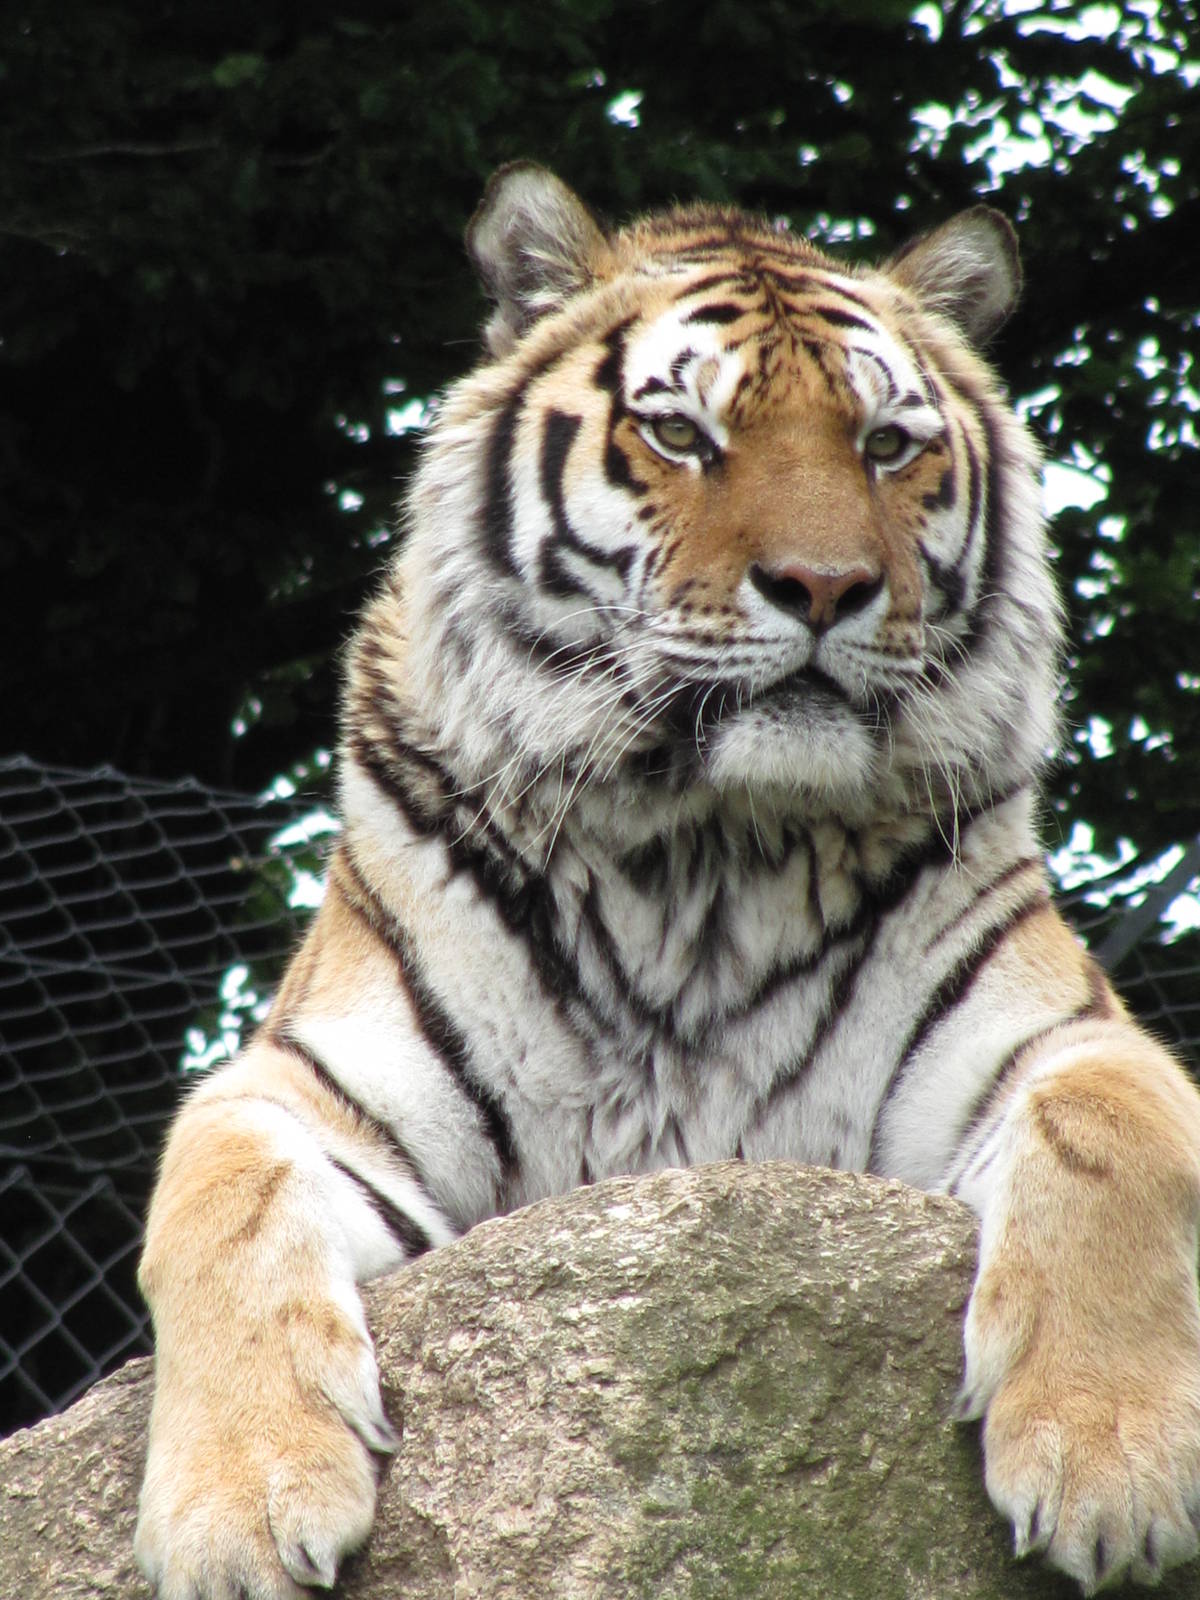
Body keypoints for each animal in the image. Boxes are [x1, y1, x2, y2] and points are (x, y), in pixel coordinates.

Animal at [134, 163, 1200, 1598]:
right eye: (682, 434)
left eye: (887, 445)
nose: (825, 585)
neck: (709, 847)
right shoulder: (308, 1083)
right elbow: (217, 1200)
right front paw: (238, 1511)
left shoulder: (1062, 1037)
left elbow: (1110, 1140)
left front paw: (1109, 1464)